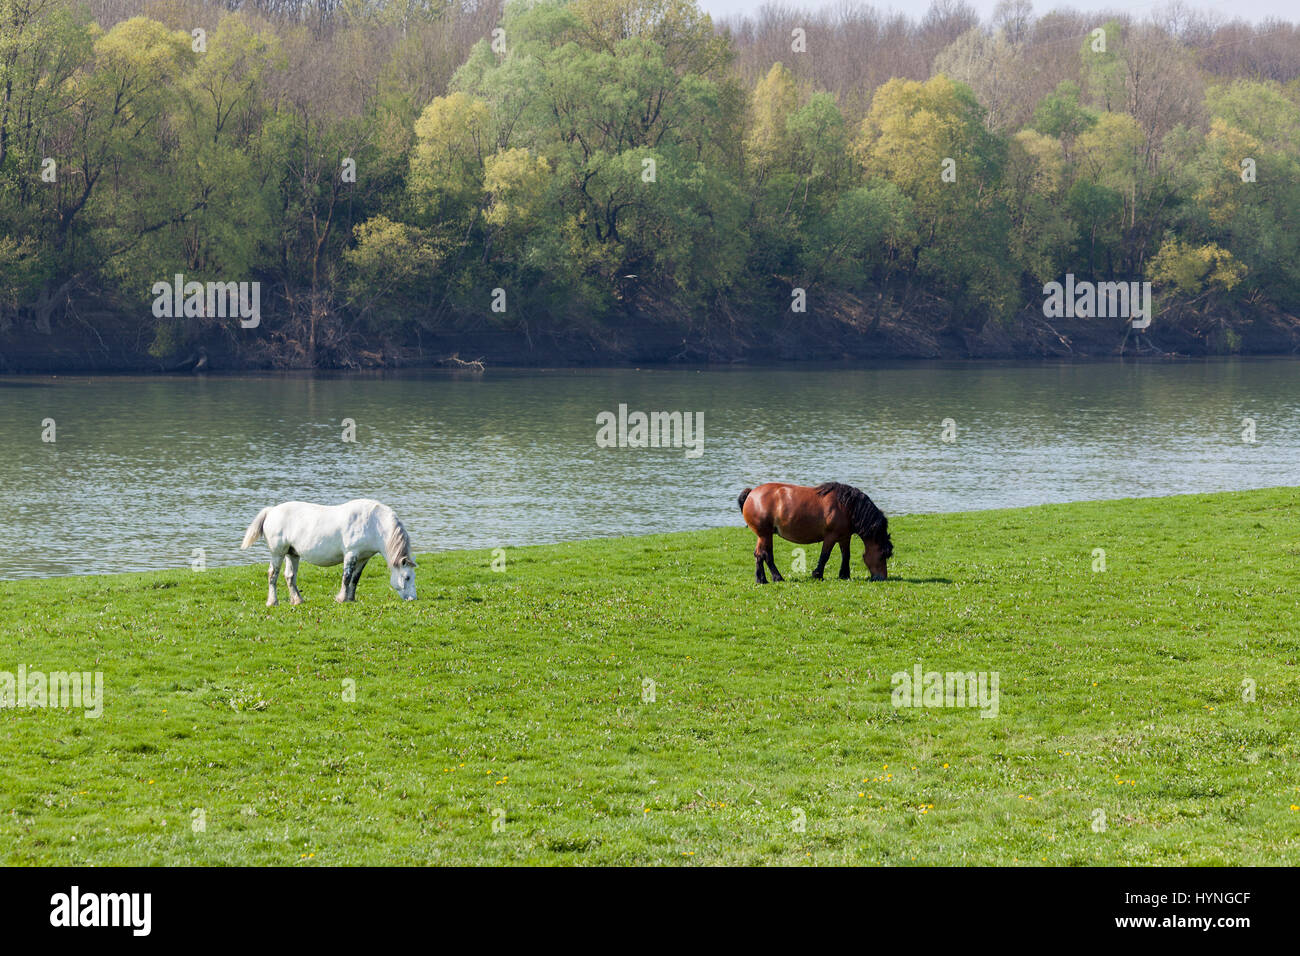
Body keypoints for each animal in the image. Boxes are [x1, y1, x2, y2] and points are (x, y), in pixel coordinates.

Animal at [236, 502, 413, 606]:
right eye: (407, 577)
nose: (413, 599)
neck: (374, 523)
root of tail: (271, 511)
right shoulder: (351, 554)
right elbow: (346, 577)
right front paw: (342, 599)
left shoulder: (363, 558)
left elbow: (355, 579)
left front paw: (351, 599)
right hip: (277, 553)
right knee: (273, 575)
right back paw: (273, 602)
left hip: (292, 554)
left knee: (289, 576)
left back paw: (298, 600)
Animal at [743, 486, 894, 582]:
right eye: (882, 555)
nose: (882, 577)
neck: (846, 506)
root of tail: (751, 493)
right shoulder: (831, 536)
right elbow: (825, 556)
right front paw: (817, 574)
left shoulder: (844, 537)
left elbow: (846, 555)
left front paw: (844, 575)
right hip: (765, 535)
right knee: (765, 555)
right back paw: (775, 578)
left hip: (763, 535)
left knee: (759, 555)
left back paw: (762, 579)